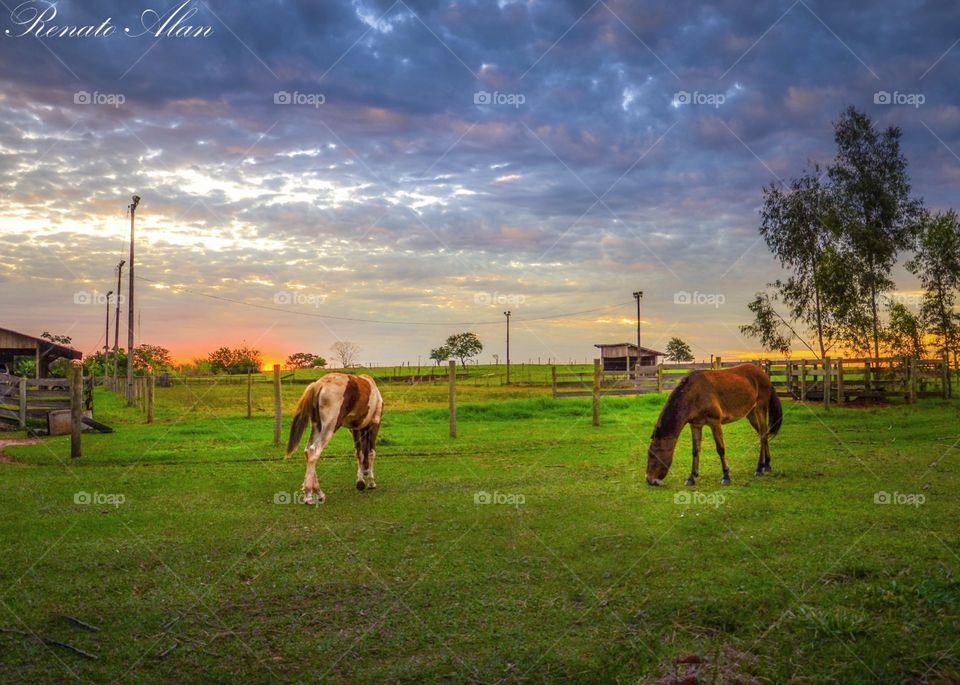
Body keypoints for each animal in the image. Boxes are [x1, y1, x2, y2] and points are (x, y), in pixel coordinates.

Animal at [286, 372, 384, 504]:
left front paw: (360, 481)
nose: (365, 471)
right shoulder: (375, 424)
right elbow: (370, 453)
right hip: (330, 426)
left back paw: (318, 493)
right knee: (314, 451)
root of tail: (319, 384)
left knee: (307, 451)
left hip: (317, 427)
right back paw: (309, 495)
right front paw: (371, 482)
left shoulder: (355, 429)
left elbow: (359, 453)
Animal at [644, 364, 780, 486]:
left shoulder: (715, 423)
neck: (692, 394)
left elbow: (720, 449)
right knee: (763, 434)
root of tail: (764, 375)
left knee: (763, 435)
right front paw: (692, 477)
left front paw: (726, 476)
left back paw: (759, 468)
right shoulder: (695, 425)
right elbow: (695, 450)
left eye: (652, 454)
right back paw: (767, 465)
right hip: (751, 413)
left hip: (760, 409)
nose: (649, 480)